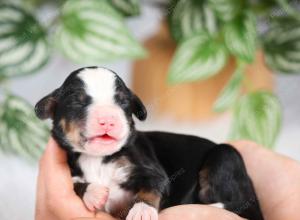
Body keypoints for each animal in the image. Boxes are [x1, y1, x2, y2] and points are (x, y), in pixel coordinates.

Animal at [35, 67, 264, 220]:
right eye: (77, 101)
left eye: (123, 102)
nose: (108, 119)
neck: (98, 159)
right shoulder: (72, 170)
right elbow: (75, 184)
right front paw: (95, 193)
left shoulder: (153, 171)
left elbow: (151, 186)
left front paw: (142, 211)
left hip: (225, 155)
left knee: (237, 205)